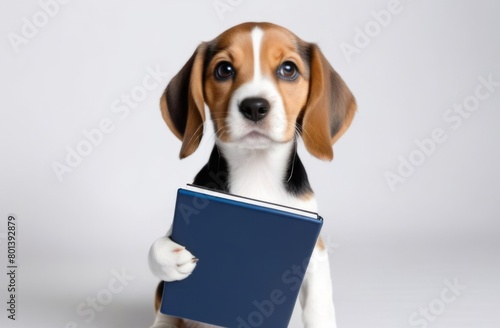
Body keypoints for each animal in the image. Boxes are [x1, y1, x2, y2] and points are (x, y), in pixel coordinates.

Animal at [148, 21, 356, 326]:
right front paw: (168, 256)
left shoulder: (314, 247)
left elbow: (319, 304)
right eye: (224, 70)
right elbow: (156, 249)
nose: (255, 107)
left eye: (288, 69)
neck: (257, 170)